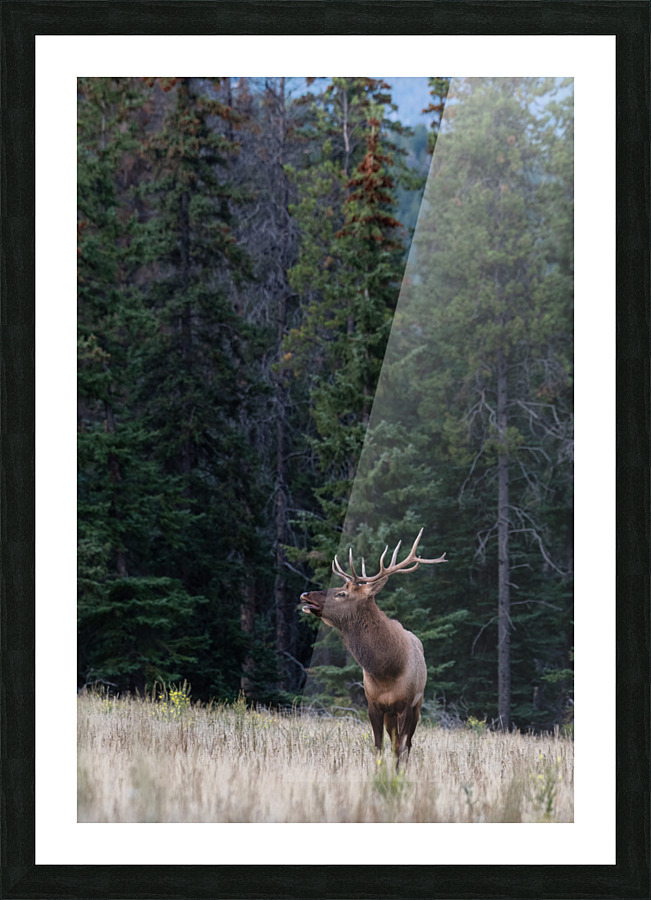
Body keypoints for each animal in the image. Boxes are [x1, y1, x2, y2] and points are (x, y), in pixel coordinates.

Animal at [301, 528, 447, 768]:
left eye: (341, 594)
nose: (305, 594)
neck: (386, 670)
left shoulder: (406, 704)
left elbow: (400, 747)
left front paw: (397, 774)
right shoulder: (373, 705)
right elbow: (379, 747)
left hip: (417, 704)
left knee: (407, 744)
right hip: (390, 715)